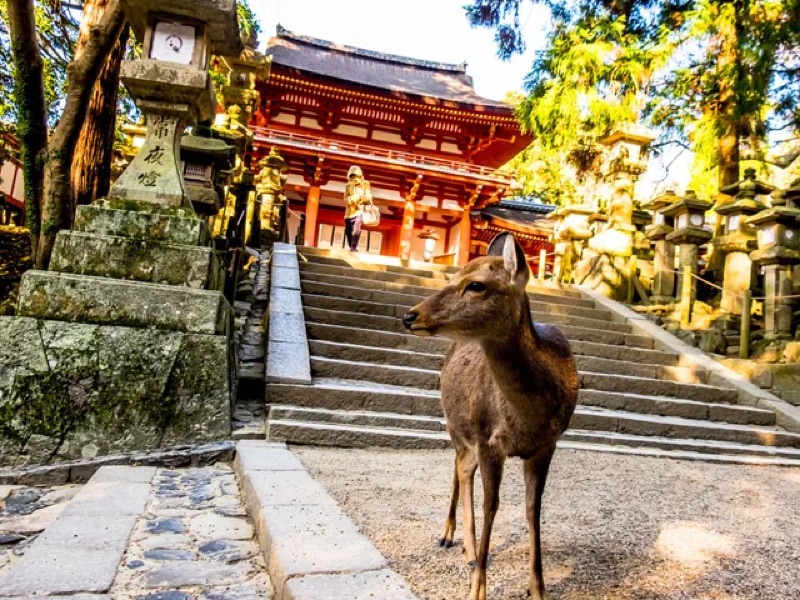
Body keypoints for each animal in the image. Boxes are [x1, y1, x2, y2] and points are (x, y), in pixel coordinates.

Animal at [402, 232, 579, 600]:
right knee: (459, 466)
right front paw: (477, 590)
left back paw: (466, 548)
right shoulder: (487, 439)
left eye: (476, 285)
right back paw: (452, 539)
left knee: (462, 467)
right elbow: (491, 505)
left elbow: (532, 509)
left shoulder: (547, 445)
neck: (527, 420)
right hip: (455, 425)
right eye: (452, 277)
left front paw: (538, 589)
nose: (410, 316)